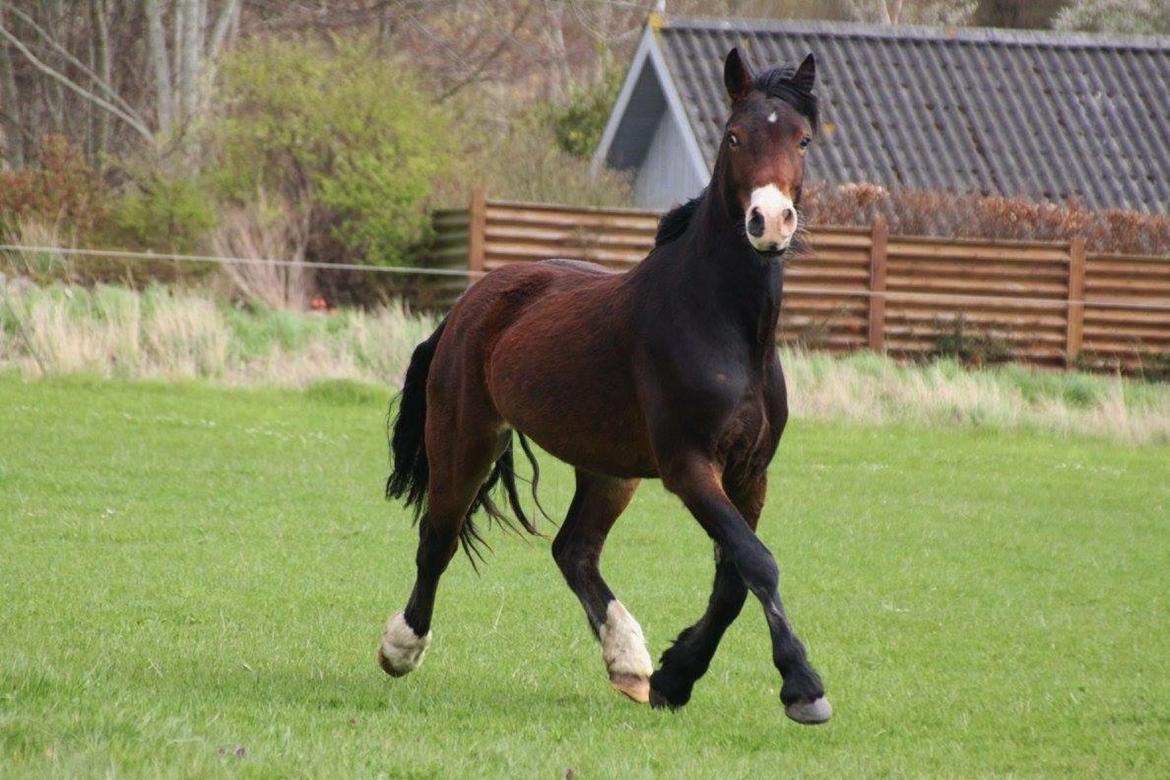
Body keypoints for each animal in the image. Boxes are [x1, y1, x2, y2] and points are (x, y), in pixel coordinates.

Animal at [379, 45, 828, 725]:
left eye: (802, 139)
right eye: (734, 135)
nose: (769, 221)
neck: (723, 325)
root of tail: (467, 304)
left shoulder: (750, 473)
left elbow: (734, 580)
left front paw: (674, 676)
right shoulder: (689, 466)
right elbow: (758, 562)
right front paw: (803, 686)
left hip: (608, 469)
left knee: (574, 550)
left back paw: (629, 662)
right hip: (465, 439)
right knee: (438, 539)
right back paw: (401, 649)